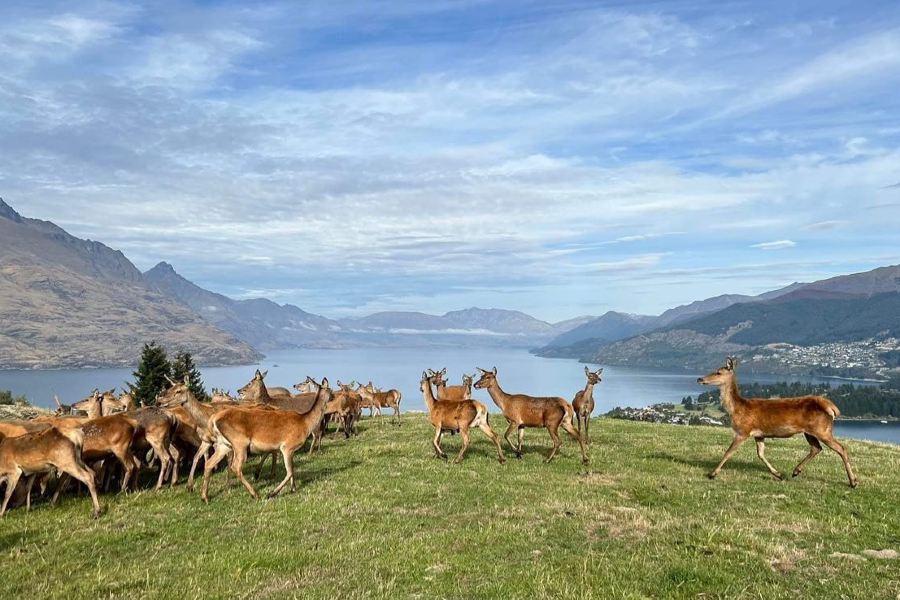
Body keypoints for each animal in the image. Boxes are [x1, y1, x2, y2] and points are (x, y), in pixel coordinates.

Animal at [200, 377, 331, 503]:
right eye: (330, 389)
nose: (333, 395)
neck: (304, 423)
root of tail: (213, 419)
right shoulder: (287, 446)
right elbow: (289, 471)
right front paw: (272, 493)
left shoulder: (291, 449)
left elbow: (292, 469)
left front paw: (293, 488)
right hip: (239, 443)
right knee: (235, 466)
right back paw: (255, 494)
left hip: (224, 444)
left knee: (209, 463)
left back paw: (205, 497)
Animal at [698, 357, 858, 487]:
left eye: (718, 372)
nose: (700, 379)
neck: (737, 409)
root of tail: (831, 407)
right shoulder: (759, 434)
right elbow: (760, 454)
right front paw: (778, 474)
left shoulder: (743, 430)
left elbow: (728, 452)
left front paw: (712, 474)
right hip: (810, 431)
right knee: (816, 448)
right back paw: (796, 471)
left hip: (822, 429)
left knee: (841, 448)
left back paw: (853, 482)